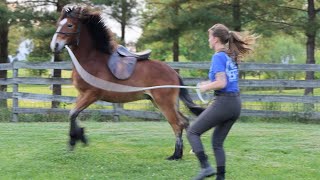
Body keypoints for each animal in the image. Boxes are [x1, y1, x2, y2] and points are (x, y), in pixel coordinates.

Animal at [50, 5, 205, 160]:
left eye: (70, 25)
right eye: (58, 24)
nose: (55, 45)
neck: (90, 60)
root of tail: (174, 73)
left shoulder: (92, 94)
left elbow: (73, 113)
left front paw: (74, 140)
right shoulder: (81, 94)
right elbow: (73, 114)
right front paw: (79, 137)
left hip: (164, 103)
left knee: (177, 124)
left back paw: (176, 155)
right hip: (163, 102)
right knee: (184, 121)